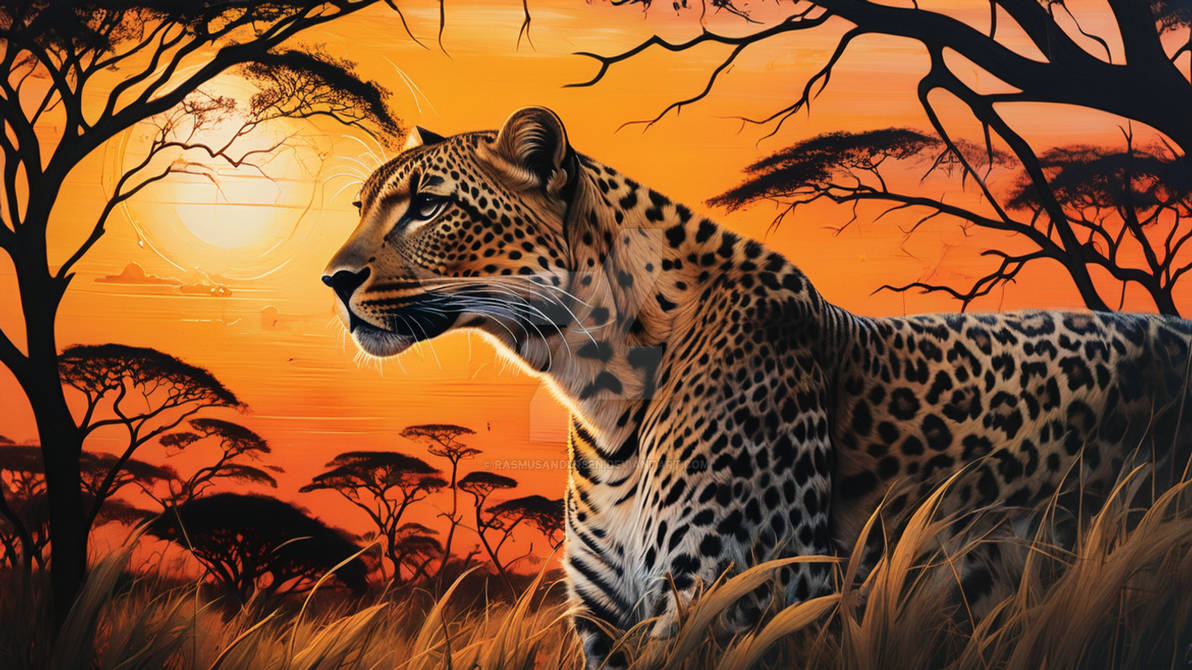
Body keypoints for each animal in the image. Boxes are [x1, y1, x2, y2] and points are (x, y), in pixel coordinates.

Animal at [322, 106, 1192, 668]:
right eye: (361, 205)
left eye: (428, 207)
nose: (333, 279)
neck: (599, 384)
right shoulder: (610, 622)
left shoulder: (733, 601)